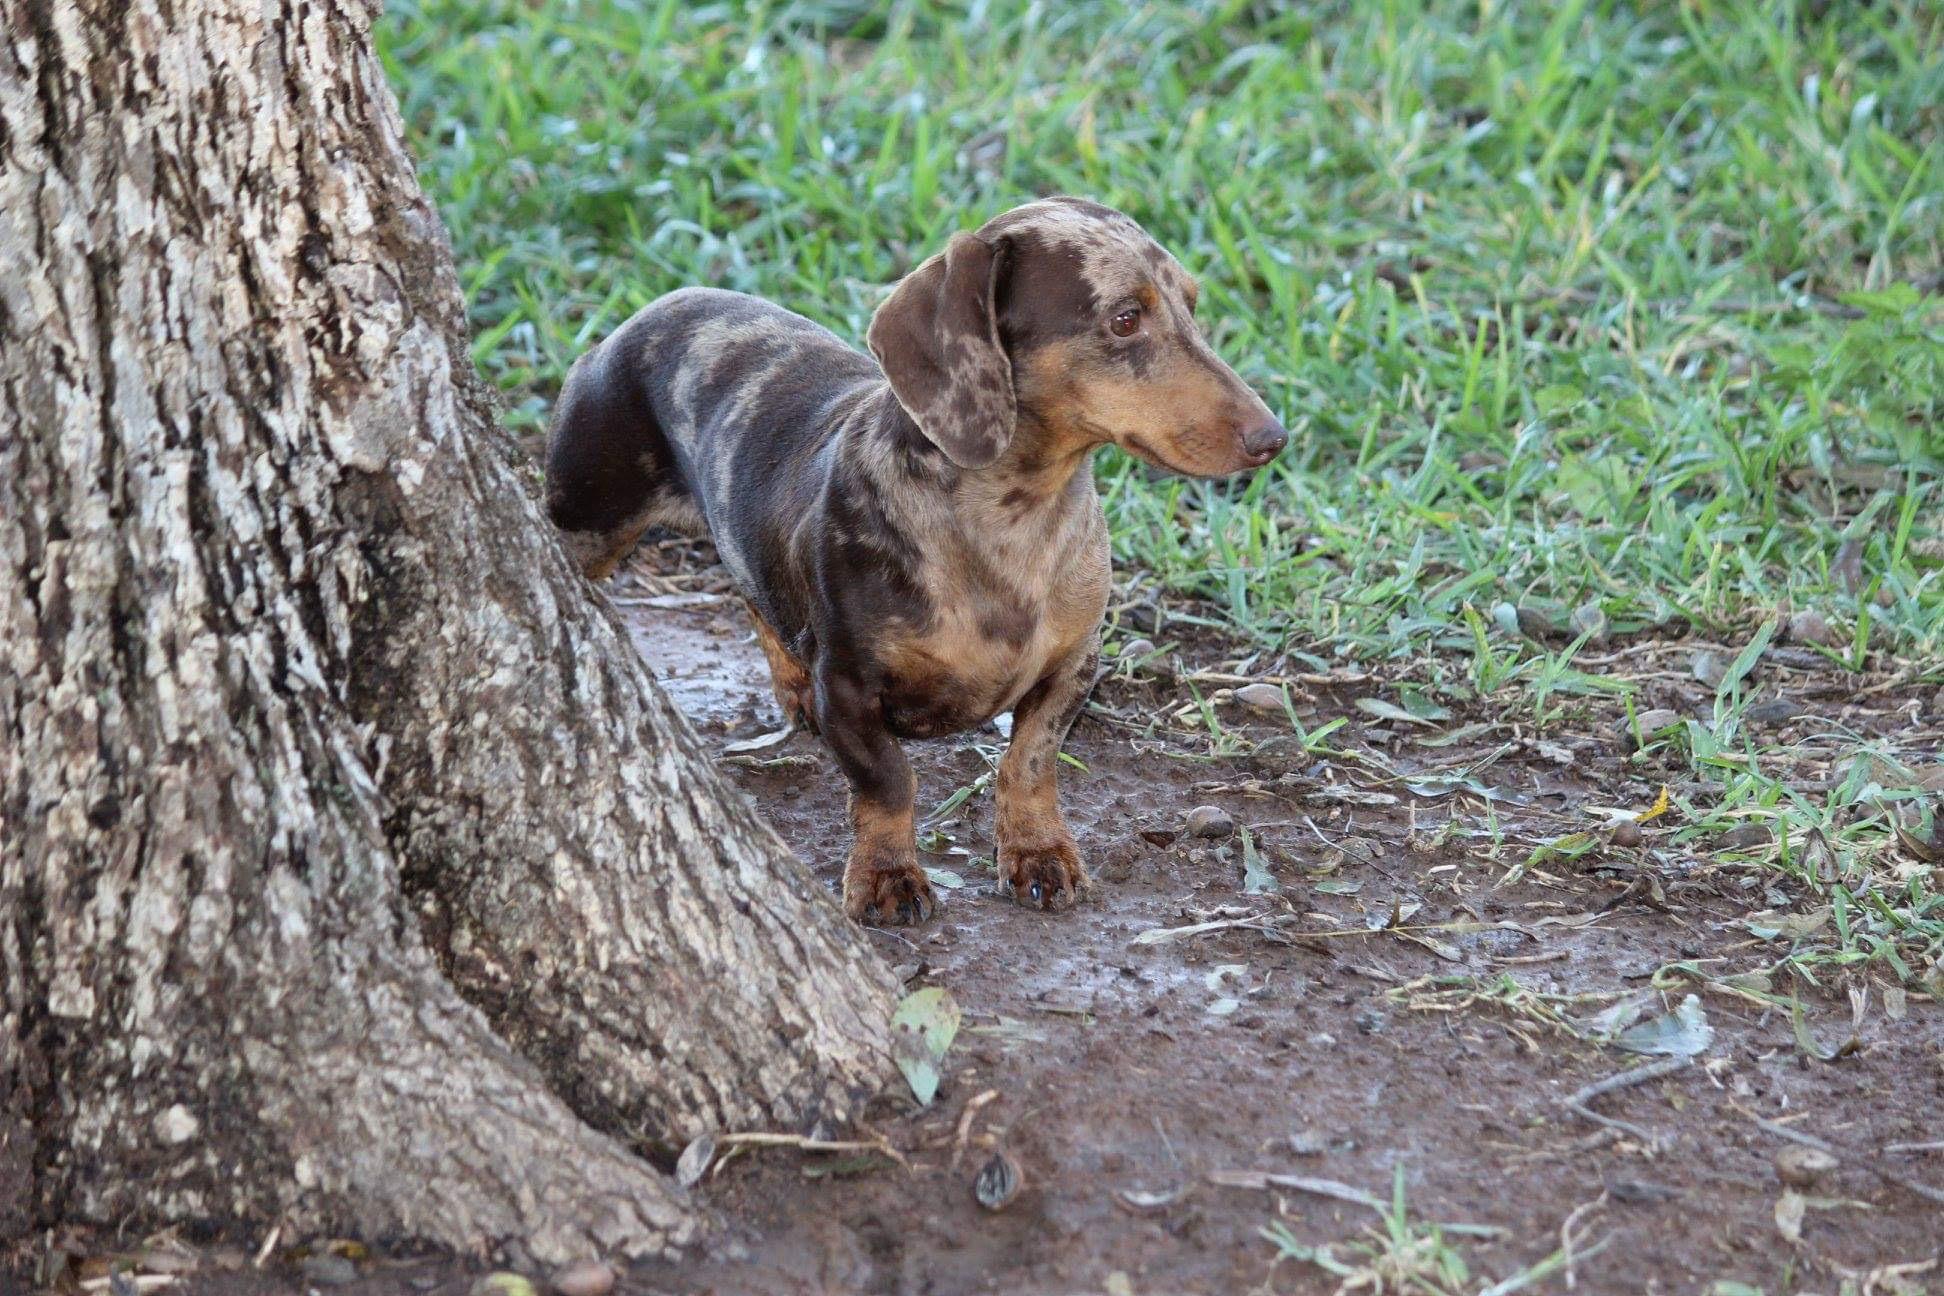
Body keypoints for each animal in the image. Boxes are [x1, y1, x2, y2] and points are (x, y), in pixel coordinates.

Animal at [545, 197, 1285, 924]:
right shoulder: (848, 687)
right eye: (1125, 318)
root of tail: (641, 315)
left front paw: (1038, 854)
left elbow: (1030, 763)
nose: (1273, 438)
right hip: (586, 520)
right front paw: (887, 878)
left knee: (754, 593)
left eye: (1191, 302)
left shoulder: (1074, 667)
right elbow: (889, 781)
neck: (1014, 523)